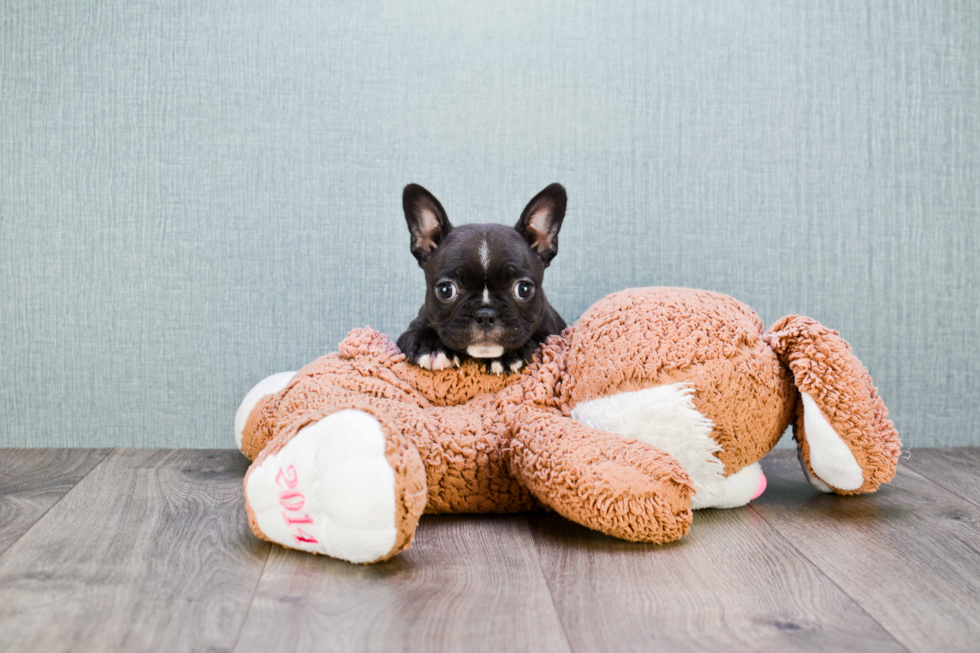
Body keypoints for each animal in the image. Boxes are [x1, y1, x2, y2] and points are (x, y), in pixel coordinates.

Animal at [396, 183, 568, 376]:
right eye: (445, 290)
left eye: (524, 289)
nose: (485, 314)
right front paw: (431, 347)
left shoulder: (552, 334)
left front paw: (506, 356)